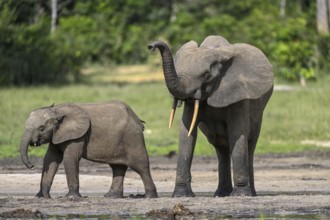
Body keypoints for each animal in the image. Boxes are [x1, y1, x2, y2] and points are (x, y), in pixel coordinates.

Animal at [19, 100, 159, 199]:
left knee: (141, 166)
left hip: (132, 138)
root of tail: (137, 118)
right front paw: (41, 197)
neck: (56, 110)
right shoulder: (58, 135)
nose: (32, 166)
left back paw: (149, 196)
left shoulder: (77, 136)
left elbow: (70, 158)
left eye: (41, 128)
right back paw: (111, 196)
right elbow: (50, 159)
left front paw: (71, 197)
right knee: (118, 167)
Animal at [150, 35, 274, 197]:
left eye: (206, 76)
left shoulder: (239, 94)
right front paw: (181, 195)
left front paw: (240, 195)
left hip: (258, 114)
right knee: (221, 148)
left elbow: (238, 134)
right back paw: (221, 194)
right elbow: (186, 134)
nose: (151, 46)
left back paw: (250, 194)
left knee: (250, 144)